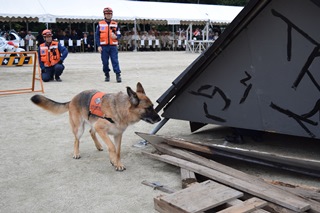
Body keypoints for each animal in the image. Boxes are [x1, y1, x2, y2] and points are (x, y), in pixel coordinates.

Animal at [30, 82, 160, 171]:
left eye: (153, 106)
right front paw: (114, 161)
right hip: (79, 128)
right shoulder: (101, 129)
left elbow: (118, 150)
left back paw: (98, 146)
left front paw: (117, 162)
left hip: (92, 123)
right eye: (148, 108)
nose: (159, 119)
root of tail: (73, 99)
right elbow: (112, 147)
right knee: (76, 140)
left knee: (91, 132)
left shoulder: (117, 135)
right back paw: (76, 153)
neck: (119, 109)